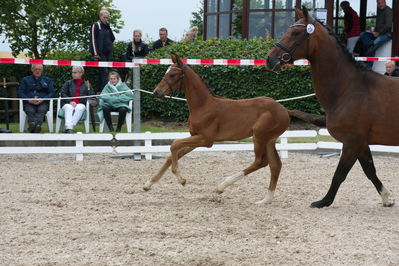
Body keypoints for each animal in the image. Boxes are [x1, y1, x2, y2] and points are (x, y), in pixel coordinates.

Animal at [144, 54, 290, 204]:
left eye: (172, 75)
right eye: (166, 73)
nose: (156, 92)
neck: (203, 106)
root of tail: (285, 111)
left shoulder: (207, 140)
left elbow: (174, 144)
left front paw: (182, 180)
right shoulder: (196, 137)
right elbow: (172, 155)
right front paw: (148, 184)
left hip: (259, 137)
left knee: (260, 162)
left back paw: (221, 187)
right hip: (269, 140)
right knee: (275, 165)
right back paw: (266, 200)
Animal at [268, 5, 398, 208]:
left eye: (295, 32)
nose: (270, 59)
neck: (350, 89)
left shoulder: (352, 143)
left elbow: (339, 174)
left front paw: (323, 201)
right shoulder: (361, 143)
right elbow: (370, 171)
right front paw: (386, 198)